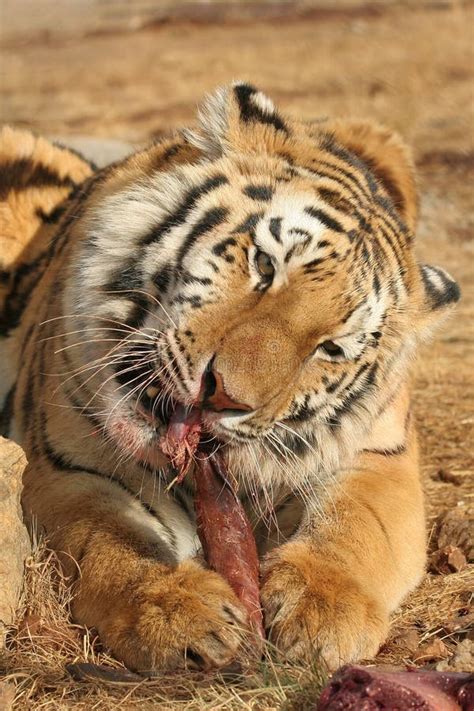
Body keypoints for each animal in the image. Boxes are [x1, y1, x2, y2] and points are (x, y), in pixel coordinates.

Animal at [0, 83, 460, 672]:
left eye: (330, 348)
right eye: (264, 264)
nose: (223, 395)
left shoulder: (381, 455)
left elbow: (356, 529)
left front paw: (321, 612)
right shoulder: (67, 467)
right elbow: (111, 541)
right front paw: (179, 613)